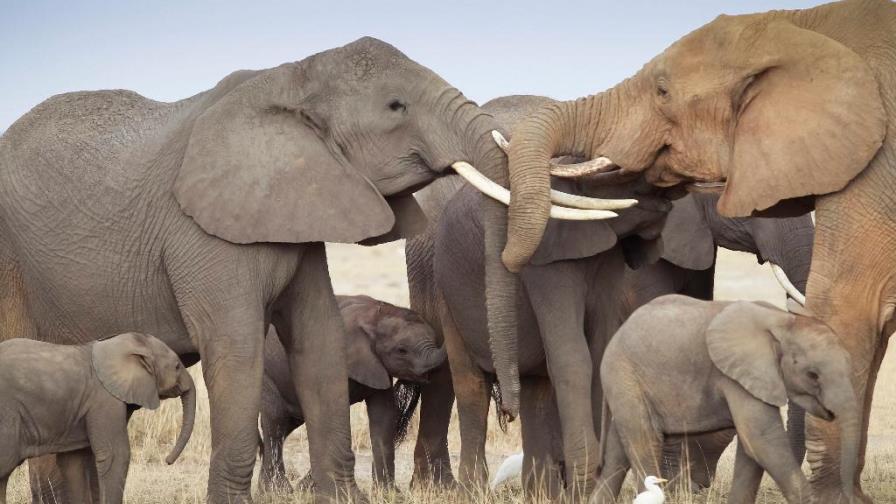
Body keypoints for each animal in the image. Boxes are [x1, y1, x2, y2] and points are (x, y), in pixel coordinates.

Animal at [259, 294, 445, 493]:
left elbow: (383, 418)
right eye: (402, 350)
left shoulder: (377, 365)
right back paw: (279, 491)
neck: (376, 314)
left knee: (284, 426)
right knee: (275, 421)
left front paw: (390, 494)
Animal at [592, 295, 856, 504]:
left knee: (618, 449)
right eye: (813, 374)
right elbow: (762, 439)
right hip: (624, 374)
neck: (781, 321)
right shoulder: (737, 375)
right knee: (645, 440)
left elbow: (752, 447)